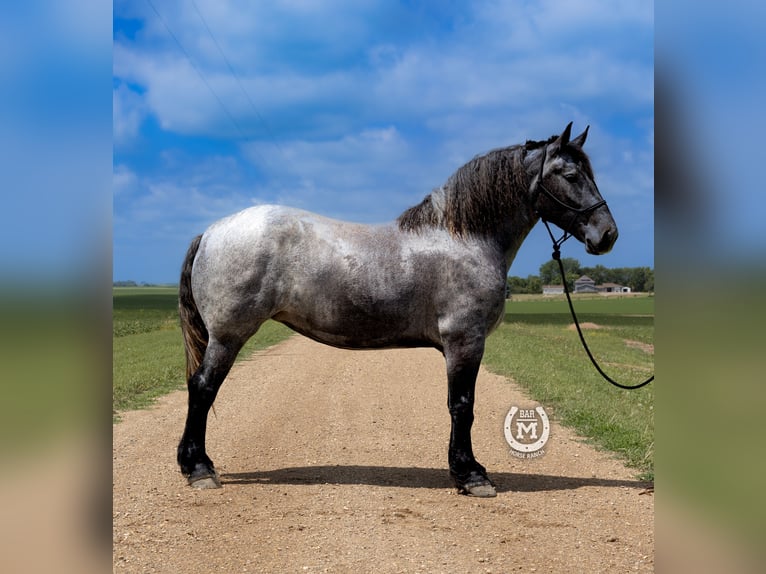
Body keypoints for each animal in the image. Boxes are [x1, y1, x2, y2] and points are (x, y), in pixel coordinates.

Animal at [178, 124, 616, 498]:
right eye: (570, 174)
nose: (608, 234)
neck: (465, 238)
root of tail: (212, 232)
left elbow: (460, 406)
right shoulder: (464, 341)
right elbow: (462, 406)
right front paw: (471, 475)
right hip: (228, 336)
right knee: (202, 388)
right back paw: (199, 469)